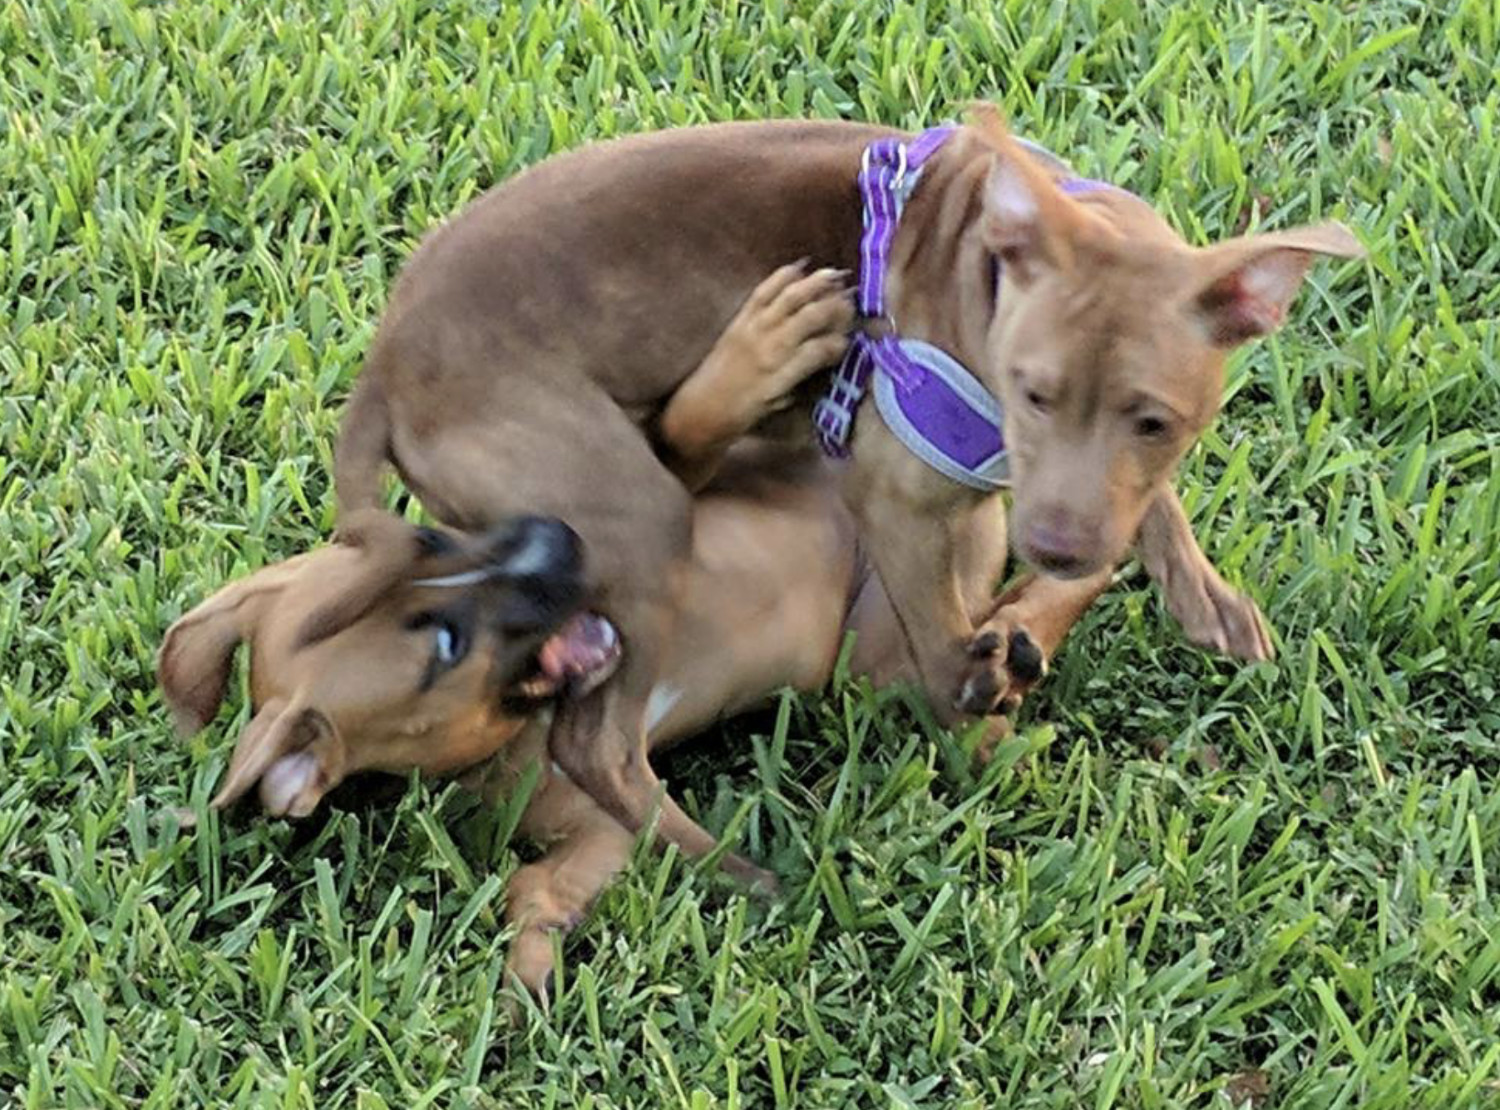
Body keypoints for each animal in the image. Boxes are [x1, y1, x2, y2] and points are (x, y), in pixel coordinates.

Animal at [334, 106, 1368, 882]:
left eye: (1154, 421)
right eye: (1030, 391)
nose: (1059, 550)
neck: (986, 261)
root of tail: (383, 370)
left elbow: (1144, 505)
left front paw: (1201, 594)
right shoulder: (903, 501)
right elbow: (946, 659)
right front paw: (983, 701)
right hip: (634, 514)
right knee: (597, 748)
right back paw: (729, 866)